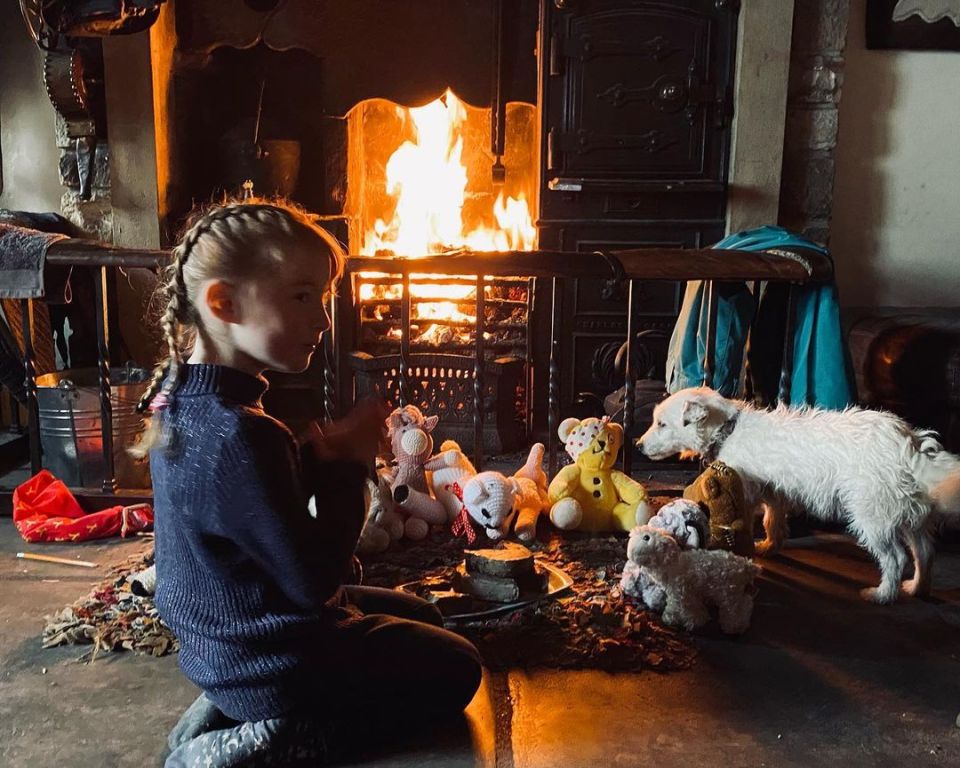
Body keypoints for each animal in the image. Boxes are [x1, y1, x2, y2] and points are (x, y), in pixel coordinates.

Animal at [636, 388, 960, 604]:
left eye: (662, 424)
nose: (637, 446)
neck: (729, 429)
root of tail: (910, 447)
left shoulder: (746, 492)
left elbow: (749, 523)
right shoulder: (774, 493)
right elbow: (773, 521)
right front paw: (769, 546)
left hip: (873, 514)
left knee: (895, 557)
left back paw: (882, 594)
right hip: (910, 512)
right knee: (924, 552)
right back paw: (917, 588)